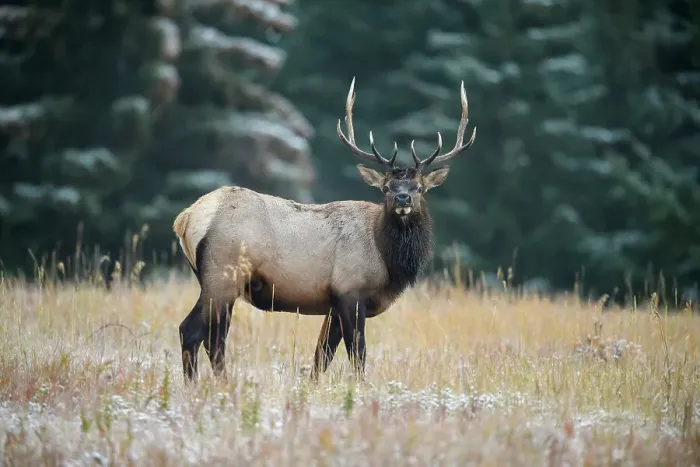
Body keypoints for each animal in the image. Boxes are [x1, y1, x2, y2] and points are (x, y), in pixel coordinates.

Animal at [172, 77, 476, 383]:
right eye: (386, 188)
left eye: (419, 187)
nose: (403, 199)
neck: (388, 261)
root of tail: (186, 218)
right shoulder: (350, 291)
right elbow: (358, 355)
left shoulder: (333, 305)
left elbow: (321, 357)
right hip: (223, 274)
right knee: (193, 330)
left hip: (220, 282)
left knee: (214, 337)